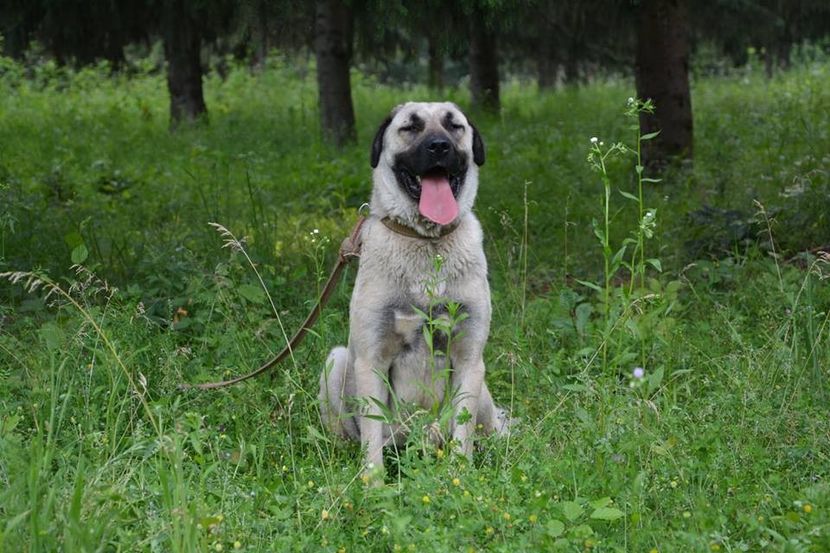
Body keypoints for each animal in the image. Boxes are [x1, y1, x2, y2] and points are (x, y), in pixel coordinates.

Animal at [320, 102, 510, 474]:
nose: (439, 147)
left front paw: (459, 475)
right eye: (410, 127)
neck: (426, 241)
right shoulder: (371, 360)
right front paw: (373, 482)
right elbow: (372, 433)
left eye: (454, 126)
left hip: (482, 389)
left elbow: (462, 429)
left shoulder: (469, 359)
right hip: (335, 361)